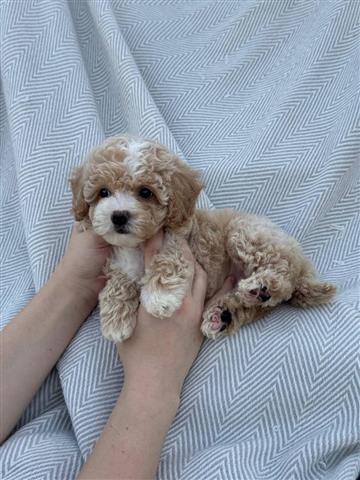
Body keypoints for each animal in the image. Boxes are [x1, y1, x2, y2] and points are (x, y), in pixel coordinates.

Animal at [71, 136, 338, 342]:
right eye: (103, 192)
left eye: (145, 192)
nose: (118, 216)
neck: (136, 245)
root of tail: (302, 263)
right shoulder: (118, 264)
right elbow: (117, 285)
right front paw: (115, 322)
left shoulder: (179, 244)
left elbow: (167, 263)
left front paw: (159, 298)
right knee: (258, 305)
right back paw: (225, 314)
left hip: (247, 233)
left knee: (283, 277)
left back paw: (261, 286)